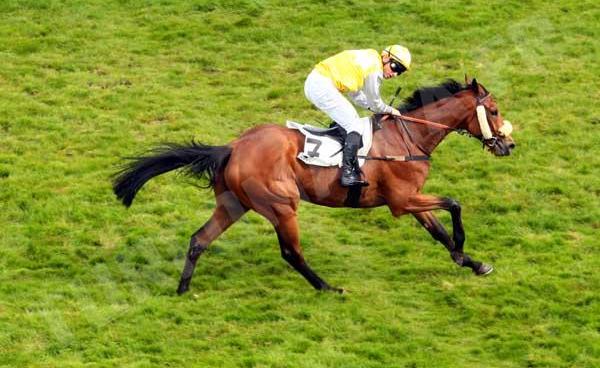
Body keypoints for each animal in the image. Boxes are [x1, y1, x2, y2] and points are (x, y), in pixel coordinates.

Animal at [113, 78, 516, 296]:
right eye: (494, 111)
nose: (508, 145)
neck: (408, 137)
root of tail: (232, 147)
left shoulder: (410, 200)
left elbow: (439, 231)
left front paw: (472, 262)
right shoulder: (402, 201)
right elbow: (453, 203)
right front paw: (463, 250)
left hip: (233, 205)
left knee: (200, 239)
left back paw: (183, 289)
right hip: (281, 205)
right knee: (291, 252)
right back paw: (328, 287)